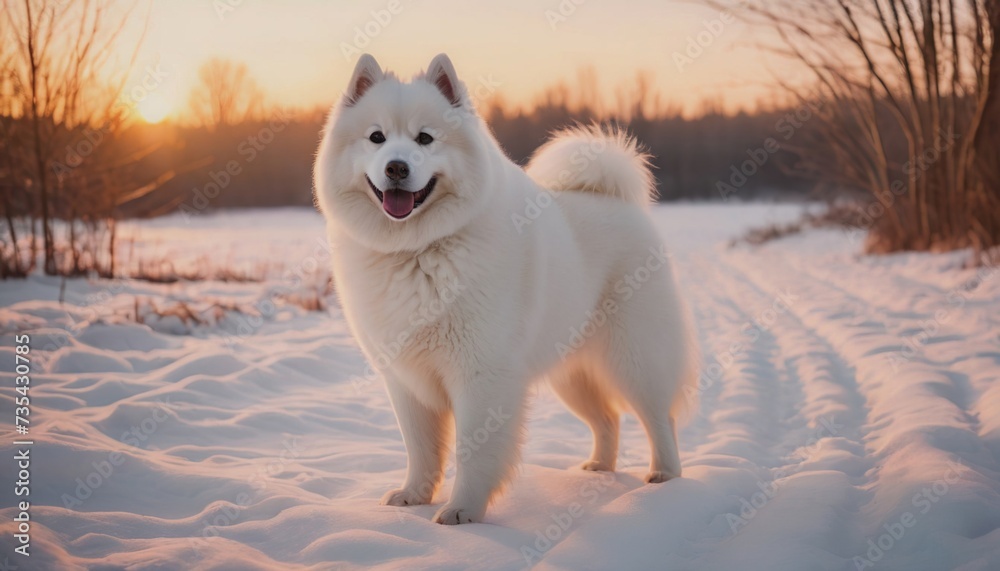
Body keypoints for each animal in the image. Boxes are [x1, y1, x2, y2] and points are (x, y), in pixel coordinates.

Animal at [312, 54, 696, 528]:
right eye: (376, 137)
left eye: (425, 138)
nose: (396, 167)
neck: (416, 250)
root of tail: (617, 201)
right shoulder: (406, 380)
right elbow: (420, 448)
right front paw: (415, 495)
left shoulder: (481, 375)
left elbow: (473, 451)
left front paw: (462, 511)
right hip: (571, 375)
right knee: (607, 420)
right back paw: (599, 467)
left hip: (634, 359)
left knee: (658, 417)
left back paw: (664, 476)